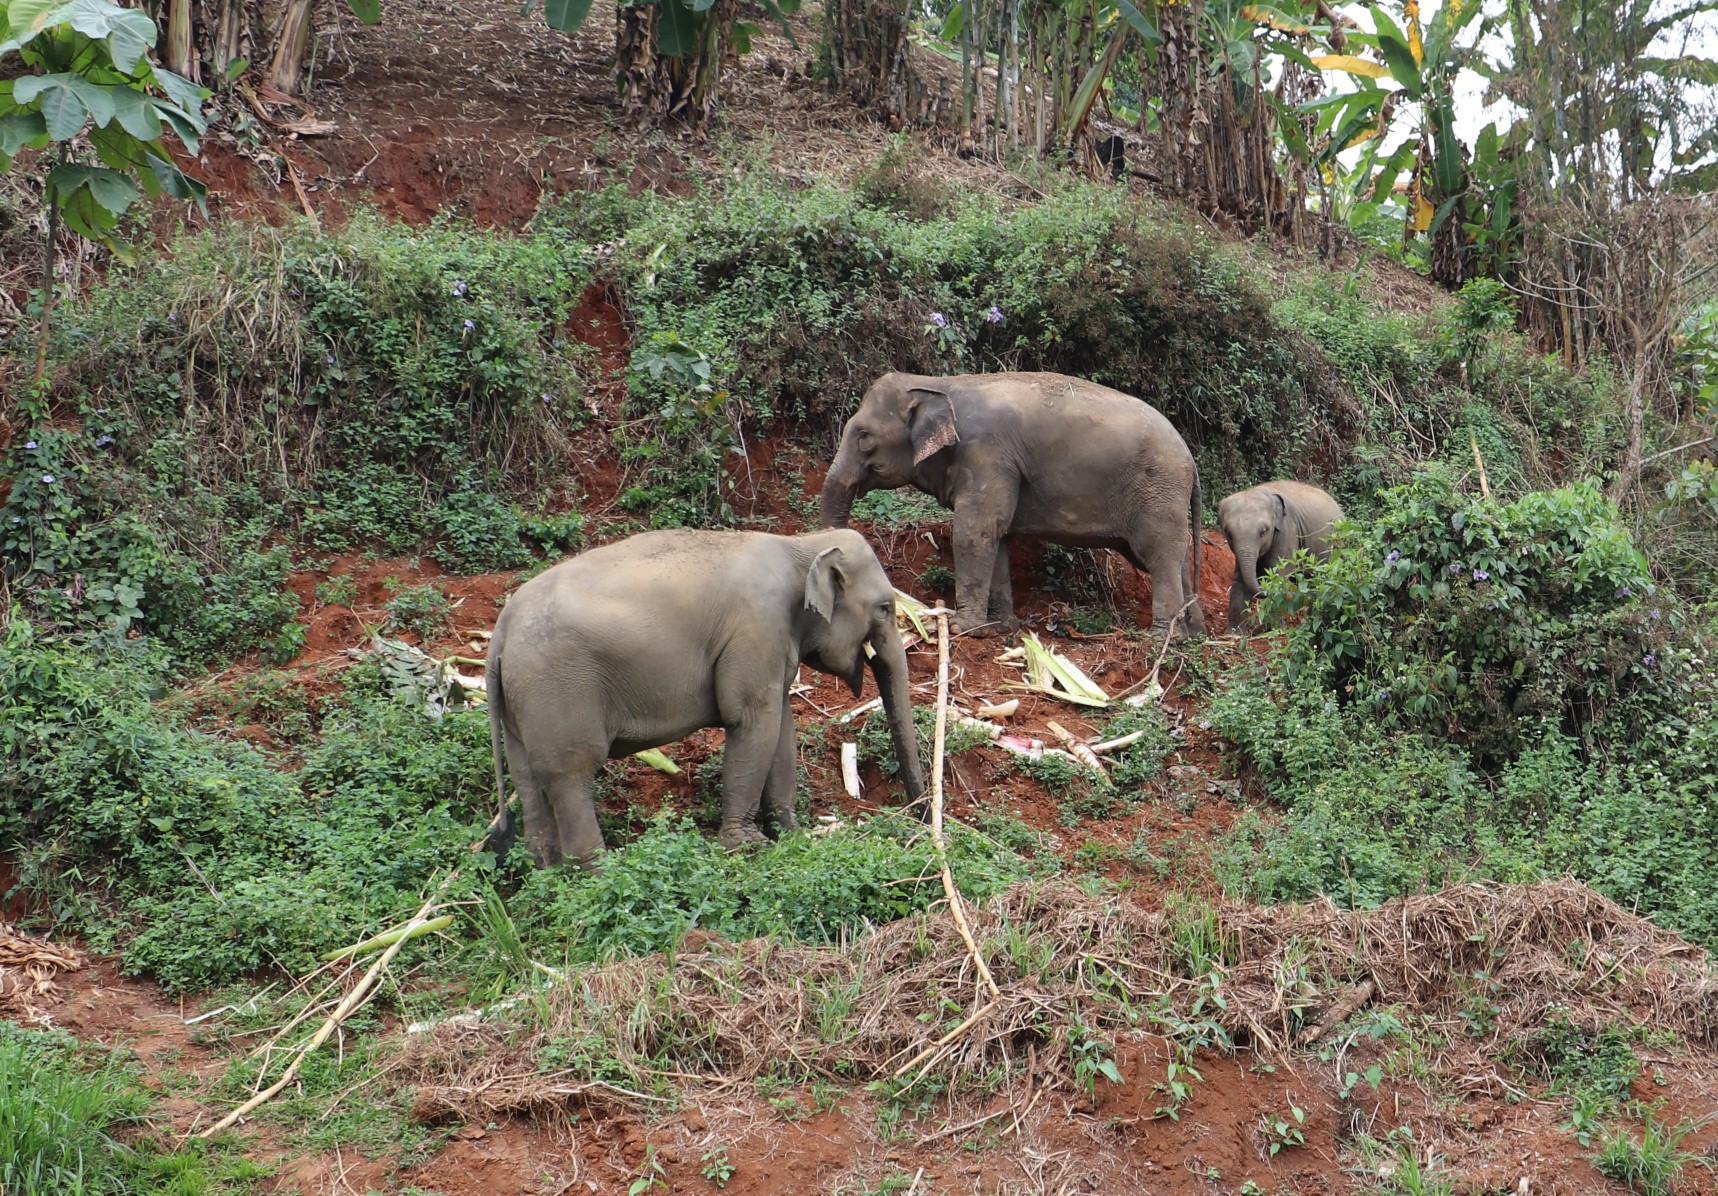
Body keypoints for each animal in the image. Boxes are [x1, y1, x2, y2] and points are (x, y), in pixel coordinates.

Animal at [482, 528, 927, 868]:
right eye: (885, 608)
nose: (921, 820)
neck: (802, 543)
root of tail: (500, 634)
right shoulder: (756, 628)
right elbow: (750, 720)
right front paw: (748, 847)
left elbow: (780, 726)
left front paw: (792, 835)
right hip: (558, 689)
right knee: (571, 774)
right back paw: (599, 873)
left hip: (522, 702)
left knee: (528, 776)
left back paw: (545, 871)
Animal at [821, 371, 1205, 639]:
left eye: (864, 437)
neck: (936, 383)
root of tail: (1191, 458)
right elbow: (997, 535)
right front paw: (1001, 627)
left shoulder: (987, 454)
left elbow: (973, 531)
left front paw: (962, 628)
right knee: (1174, 557)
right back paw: (1193, 633)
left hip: (1157, 491)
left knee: (1158, 554)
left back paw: (1160, 639)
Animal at [1216, 480, 1345, 631]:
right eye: (1228, 533)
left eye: (1264, 531)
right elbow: (1239, 579)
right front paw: (1234, 633)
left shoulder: (1288, 530)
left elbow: (1278, 575)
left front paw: (1275, 629)